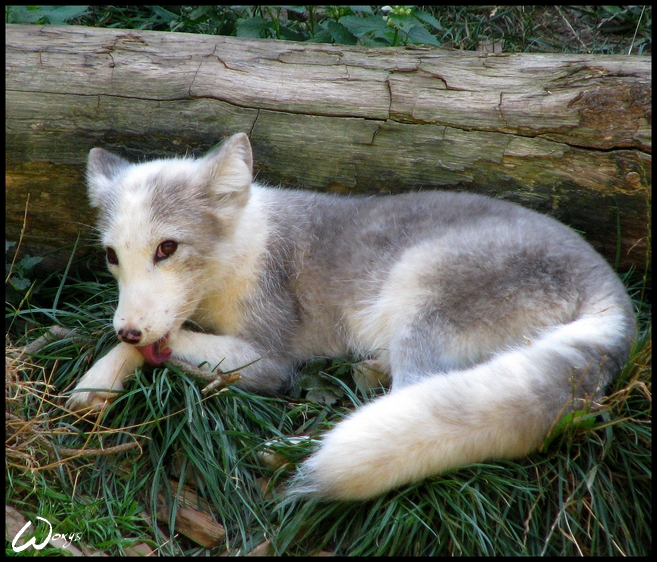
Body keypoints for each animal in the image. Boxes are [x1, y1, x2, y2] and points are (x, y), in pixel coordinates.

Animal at [68, 132, 636, 498]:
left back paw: (297, 452)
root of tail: (612, 289)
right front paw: (99, 380)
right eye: (112, 256)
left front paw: (112, 362)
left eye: (167, 248)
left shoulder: (270, 359)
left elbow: (167, 342)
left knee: (412, 394)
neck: (242, 253)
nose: (126, 325)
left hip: (419, 295)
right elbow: (154, 341)